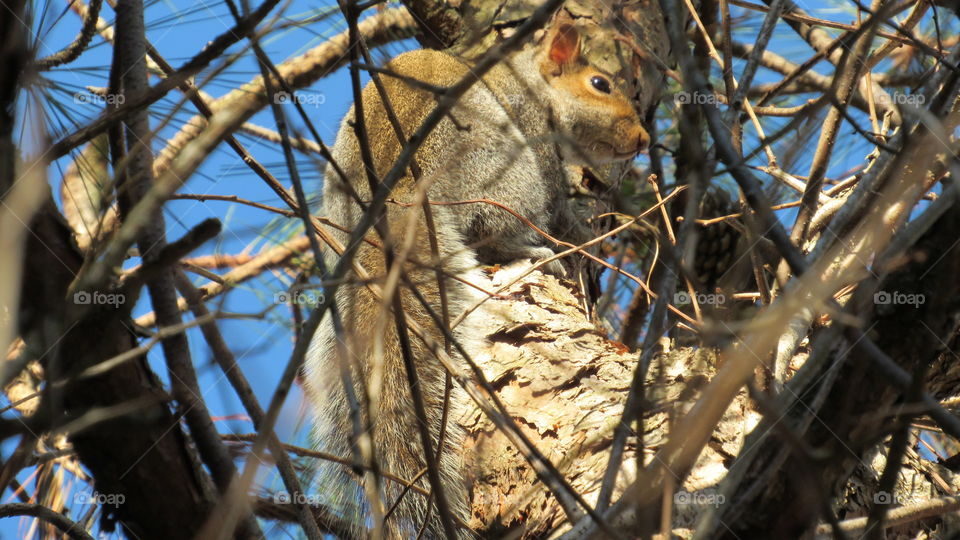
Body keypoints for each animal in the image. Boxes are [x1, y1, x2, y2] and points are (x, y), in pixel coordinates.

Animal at [304, 15, 648, 539]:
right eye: (600, 84)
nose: (643, 139)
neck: (528, 79)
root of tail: (392, 198)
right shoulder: (538, 140)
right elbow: (559, 204)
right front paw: (573, 228)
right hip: (505, 174)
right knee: (496, 228)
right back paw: (536, 251)